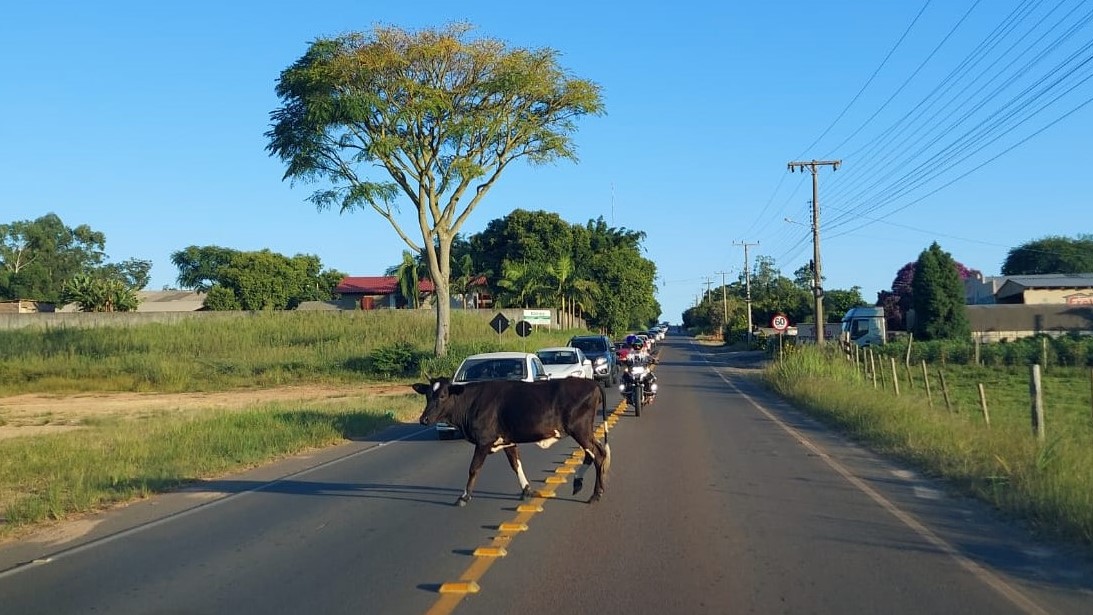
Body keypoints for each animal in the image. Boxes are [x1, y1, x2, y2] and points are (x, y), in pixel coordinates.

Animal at [413, 377, 612, 506]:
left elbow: (473, 469)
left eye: (443, 395)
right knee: (592, 454)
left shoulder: (483, 442)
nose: (424, 419)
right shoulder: (508, 441)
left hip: (580, 430)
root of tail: (592, 382)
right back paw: (579, 483)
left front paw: (464, 497)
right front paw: (527, 490)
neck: (471, 402)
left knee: (598, 454)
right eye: (427, 395)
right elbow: (516, 464)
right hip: (583, 432)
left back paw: (596, 494)